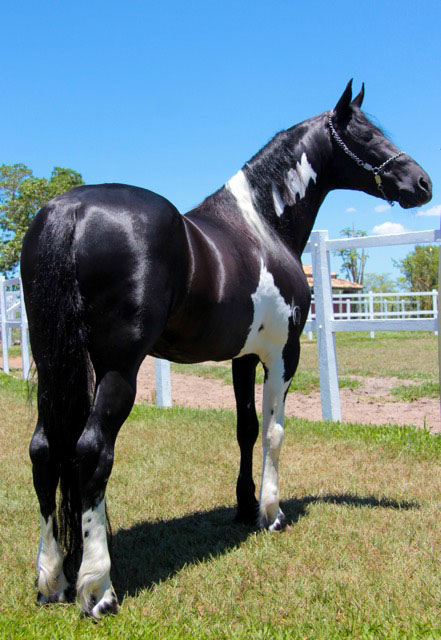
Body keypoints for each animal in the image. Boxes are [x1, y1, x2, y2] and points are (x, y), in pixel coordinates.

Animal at [19, 81, 430, 620]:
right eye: (365, 133)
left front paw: (243, 505)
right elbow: (274, 431)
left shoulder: (243, 357)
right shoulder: (283, 354)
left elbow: (245, 429)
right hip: (117, 370)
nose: (421, 182)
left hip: (53, 364)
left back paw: (52, 580)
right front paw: (270, 512)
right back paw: (97, 587)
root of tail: (70, 211)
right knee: (93, 450)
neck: (263, 226)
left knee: (45, 450)